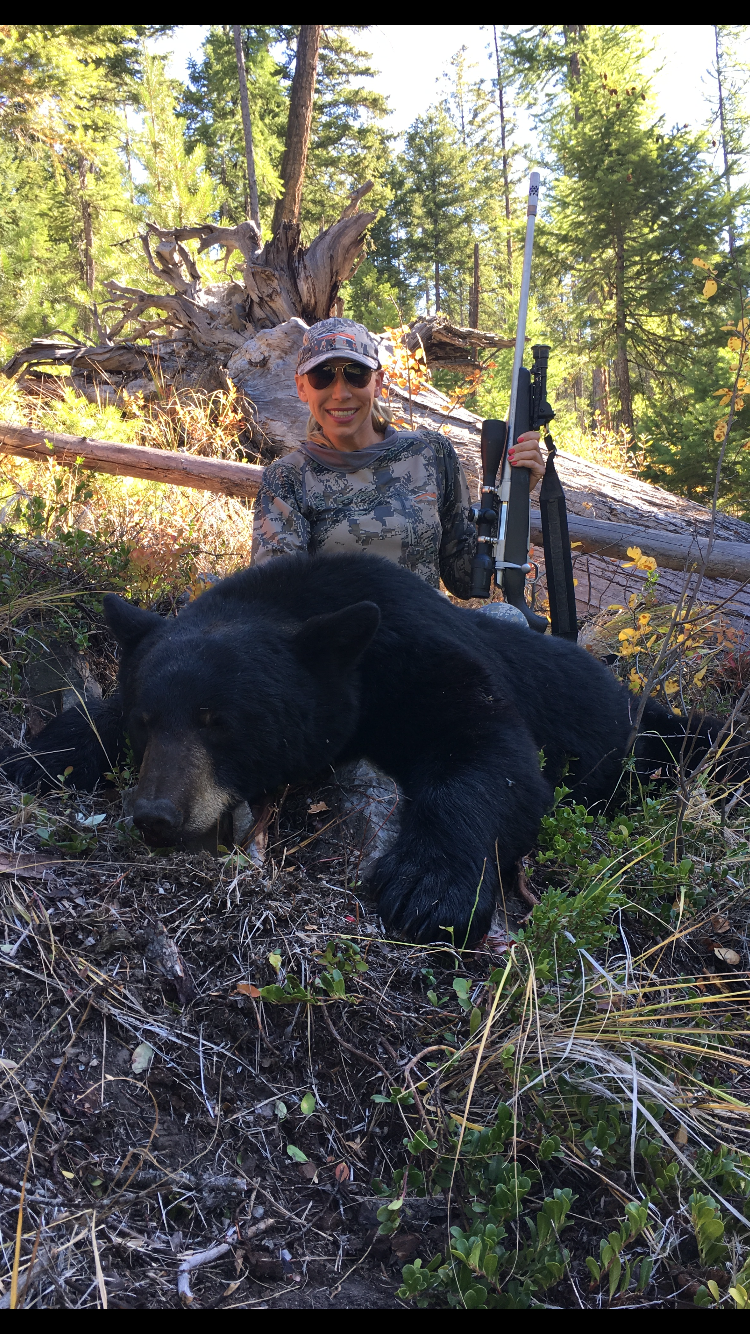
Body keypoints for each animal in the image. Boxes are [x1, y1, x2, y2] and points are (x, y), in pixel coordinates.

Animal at [0, 551, 727, 947]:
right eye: (148, 721)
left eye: (220, 721)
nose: (156, 814)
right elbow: (89, 721)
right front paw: (36, 755)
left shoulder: (423, 657)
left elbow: (493, 758)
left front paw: (427, 887)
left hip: (643, 738)